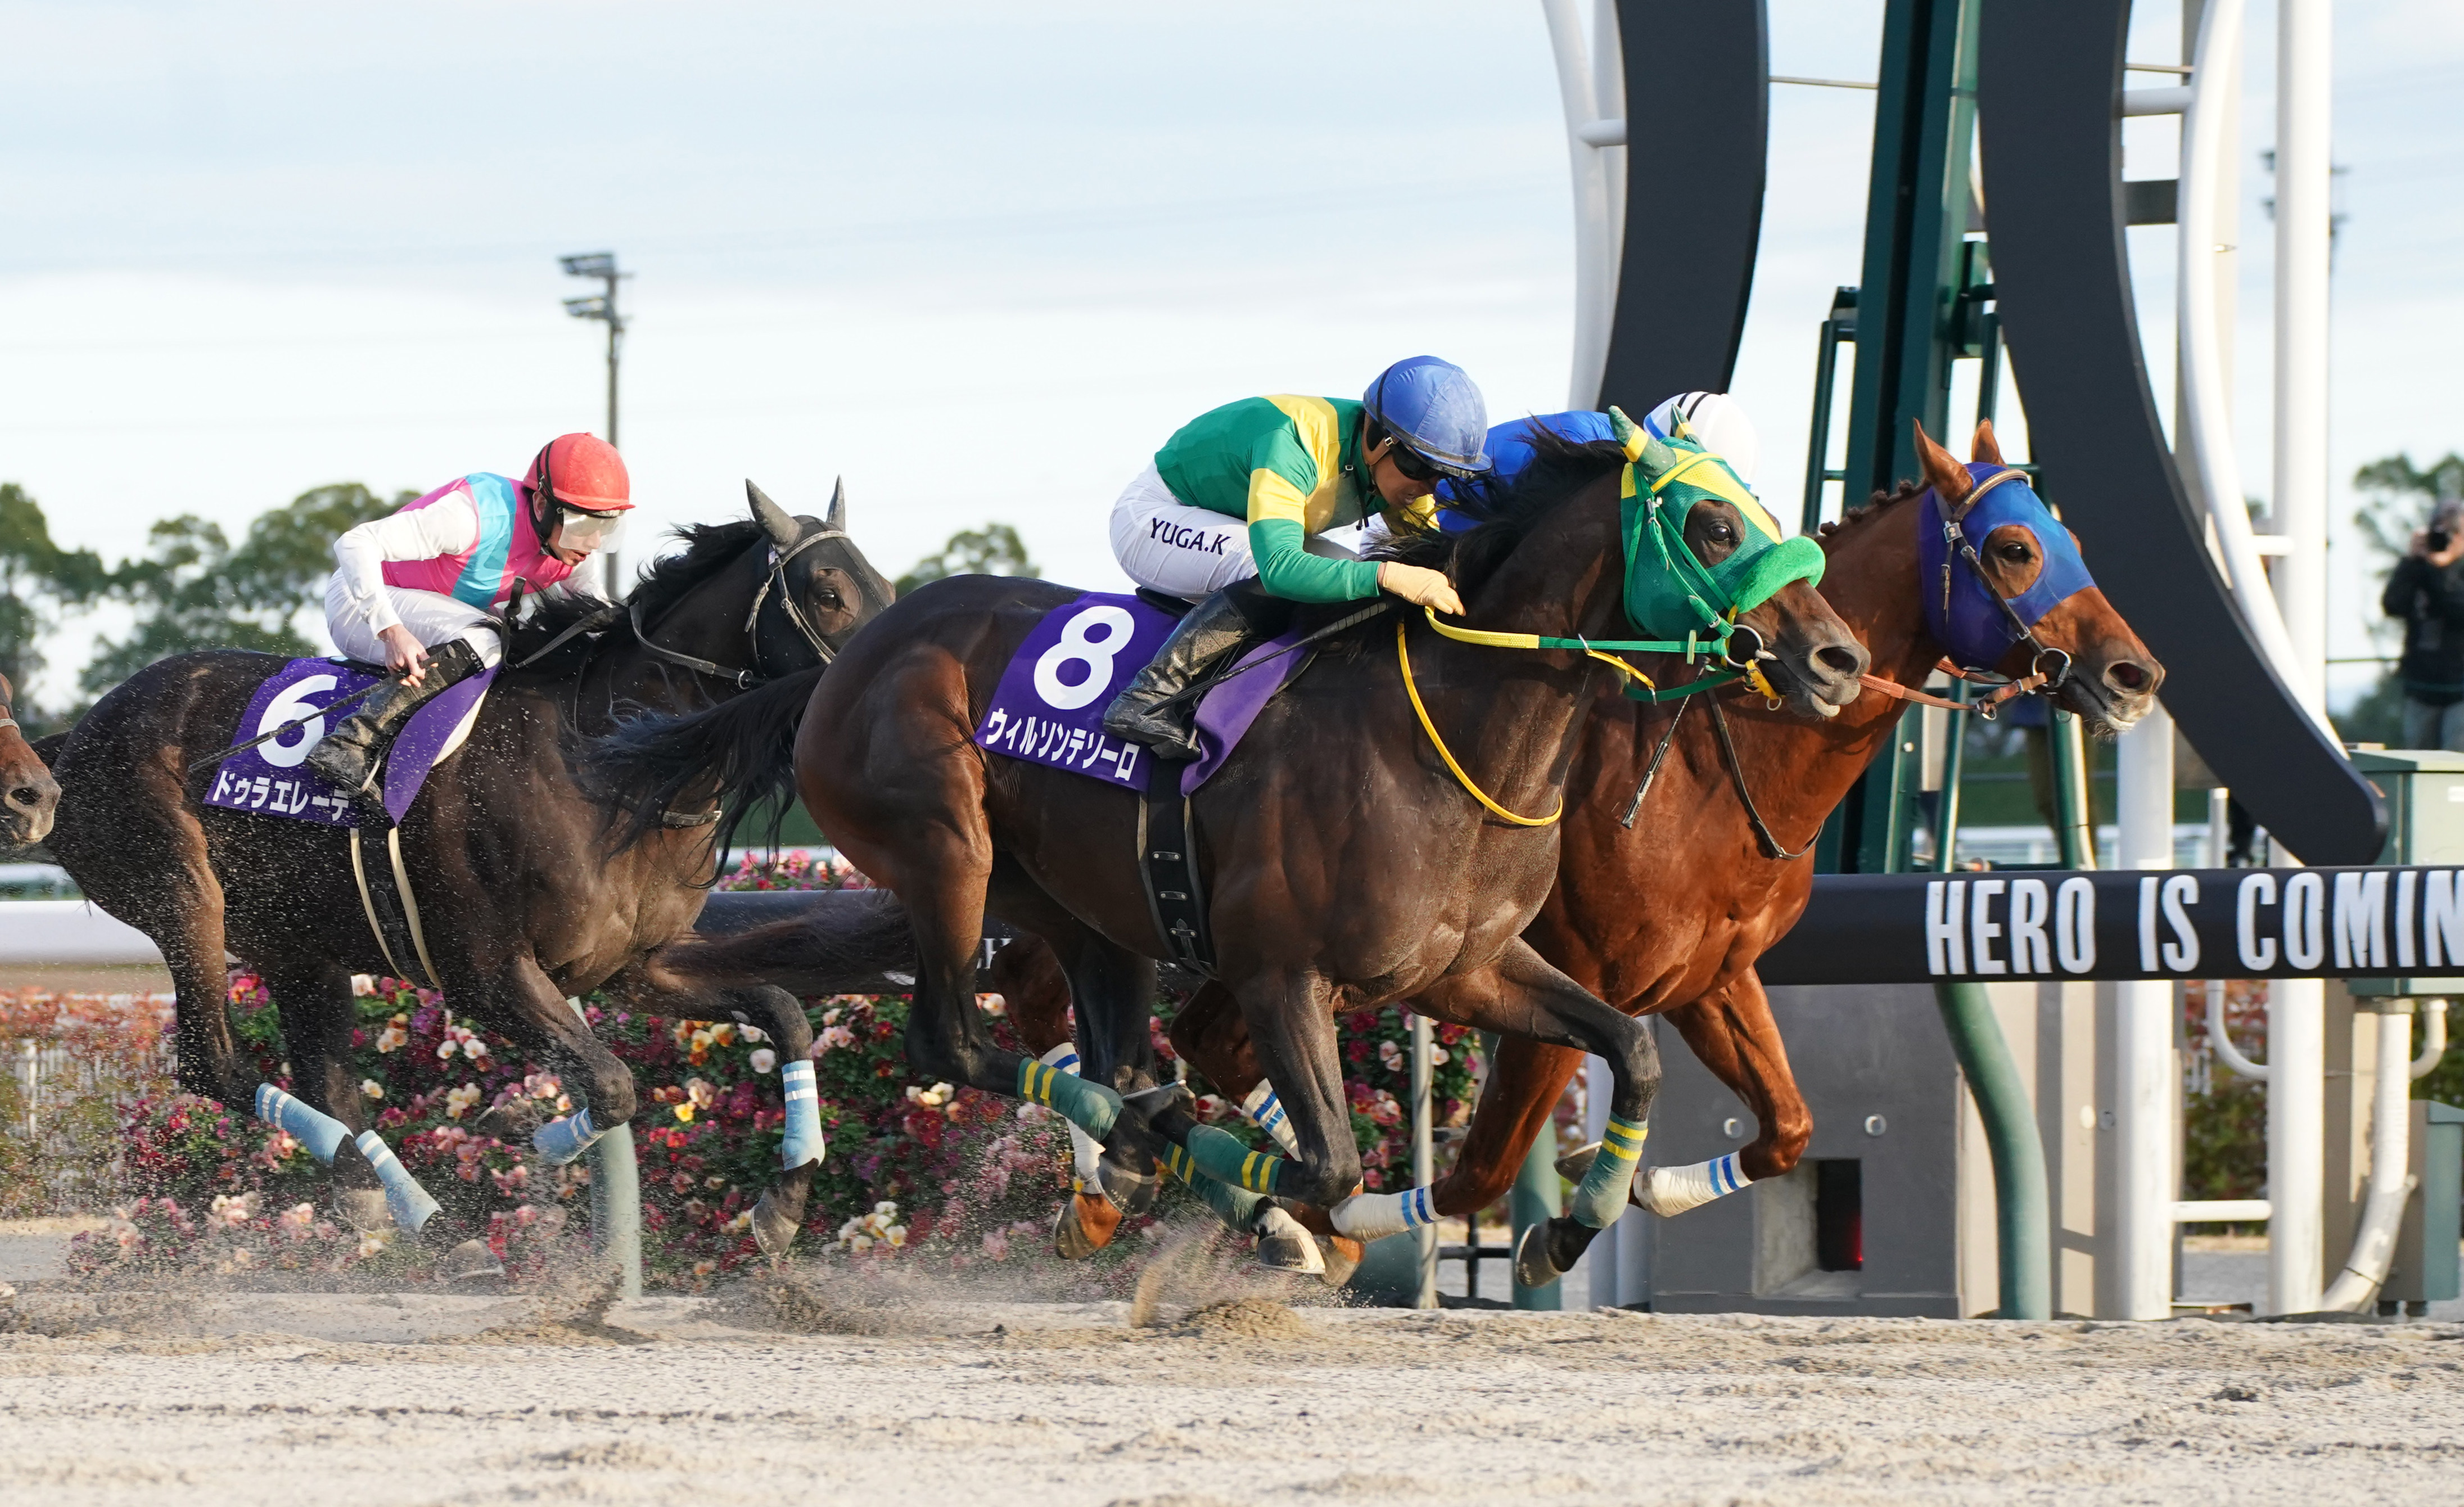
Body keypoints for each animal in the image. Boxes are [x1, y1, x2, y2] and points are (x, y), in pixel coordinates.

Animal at [48, 482, 892, 1261]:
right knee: (213, 1063)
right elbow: (613, 1084)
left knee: (332, 1084)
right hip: (183, 896)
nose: (871, 687)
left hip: (295, 937)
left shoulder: (637, 965)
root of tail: (74, 738)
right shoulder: (484, 972)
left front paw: (782, 1202)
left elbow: (784, 1011)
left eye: (884, 589)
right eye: (827, 593)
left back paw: (398, 1206)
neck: (616, 769)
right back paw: (392, 1193)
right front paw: (528, 1136)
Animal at [611, 433, 1862, 1270]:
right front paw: (1315, 1213)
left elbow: (1631, 1048)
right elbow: (1330, 1161)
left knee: (1100, 1046)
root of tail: (850, 657)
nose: (1839, 659)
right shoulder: (1281, 973)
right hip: (943, 848)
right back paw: (1146, 1146)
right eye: (1711, 525)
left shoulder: (1465, 969)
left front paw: (1568, 1225)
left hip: (1079, 904)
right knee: (958, 1039)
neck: (1451, 734)